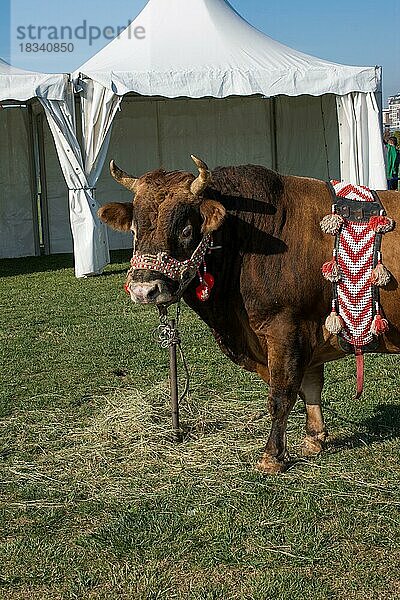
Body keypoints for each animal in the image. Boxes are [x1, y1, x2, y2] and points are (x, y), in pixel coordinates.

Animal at [97, 158, 400, 474]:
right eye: (134, 230)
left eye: (186, 230)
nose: (144, 289)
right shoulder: (308, 331)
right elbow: (310, 386)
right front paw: (314, 439)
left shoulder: (286, 328)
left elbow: (282, 395)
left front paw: (272, 456)